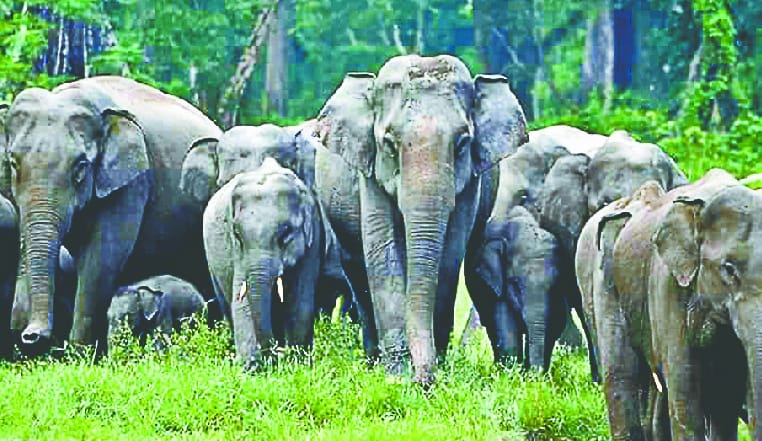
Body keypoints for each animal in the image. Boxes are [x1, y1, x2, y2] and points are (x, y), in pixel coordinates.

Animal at [2, 76, 221, 354]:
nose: (32, 335)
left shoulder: (132, 182)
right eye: (13, 163)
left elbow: (101, 258)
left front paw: (80, 355)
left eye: (80, 166)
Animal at [203, 158, 352, 366]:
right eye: (238, 235)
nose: (275, 352)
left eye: (285, 234)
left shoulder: (312, 239)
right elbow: (242, 301)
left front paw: (297, 363)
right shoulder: (237, 250)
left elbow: (300, 302)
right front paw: (253, 367)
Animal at [315, 54, 528, 382]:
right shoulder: (370, 172)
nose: (424, 381)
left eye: (462, 143)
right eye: (389, 144)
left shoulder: (471, 182)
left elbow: (449, 257)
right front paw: (396, 375)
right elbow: (383, 252)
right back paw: (373, 360)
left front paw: (431, 366)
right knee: (357, 271)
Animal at [471, 204, 566, 369]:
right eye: (514, 283)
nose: (534, 374)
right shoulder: (497, 284)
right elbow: (508, 332)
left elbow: (553, 329)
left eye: (555, 286)